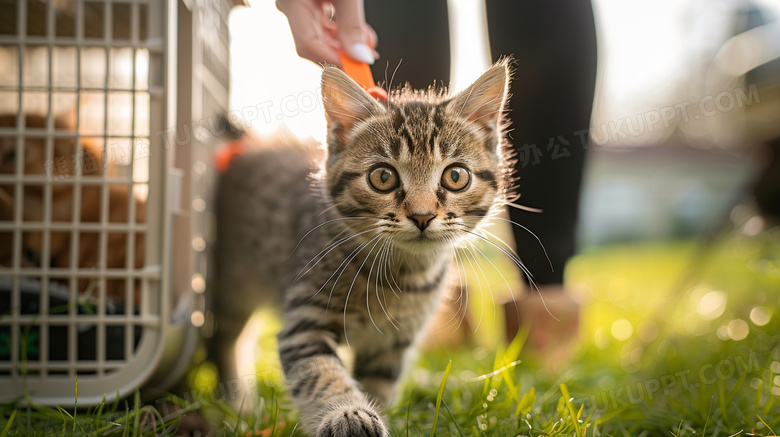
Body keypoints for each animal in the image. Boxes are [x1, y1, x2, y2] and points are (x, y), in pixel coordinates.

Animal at [215, 59, 512, 434]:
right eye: (383, 177)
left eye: (455, 176)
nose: (422, 215)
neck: (399, 276)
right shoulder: (304, 321)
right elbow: (322, 374)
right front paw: (346, 413)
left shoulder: (392, 345)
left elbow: (377, 386)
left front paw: (373, 413)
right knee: (223, 340)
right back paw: (239, 405)